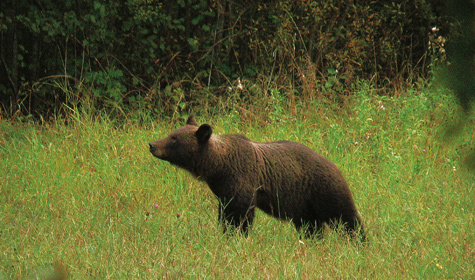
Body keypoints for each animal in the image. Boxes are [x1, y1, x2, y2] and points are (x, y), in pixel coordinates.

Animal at [151, 115, 366, 242]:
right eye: (171, 133)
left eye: (174, 139)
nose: (152, 144)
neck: (218, 167)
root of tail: (335, 165)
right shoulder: (222, 189)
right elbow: (226, 212)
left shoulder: (243, 179)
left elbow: (241, 214)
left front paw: (236, 236)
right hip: (304, 204)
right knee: (310, 226)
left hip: (323, 188)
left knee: (346, 217)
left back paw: (360, 241)